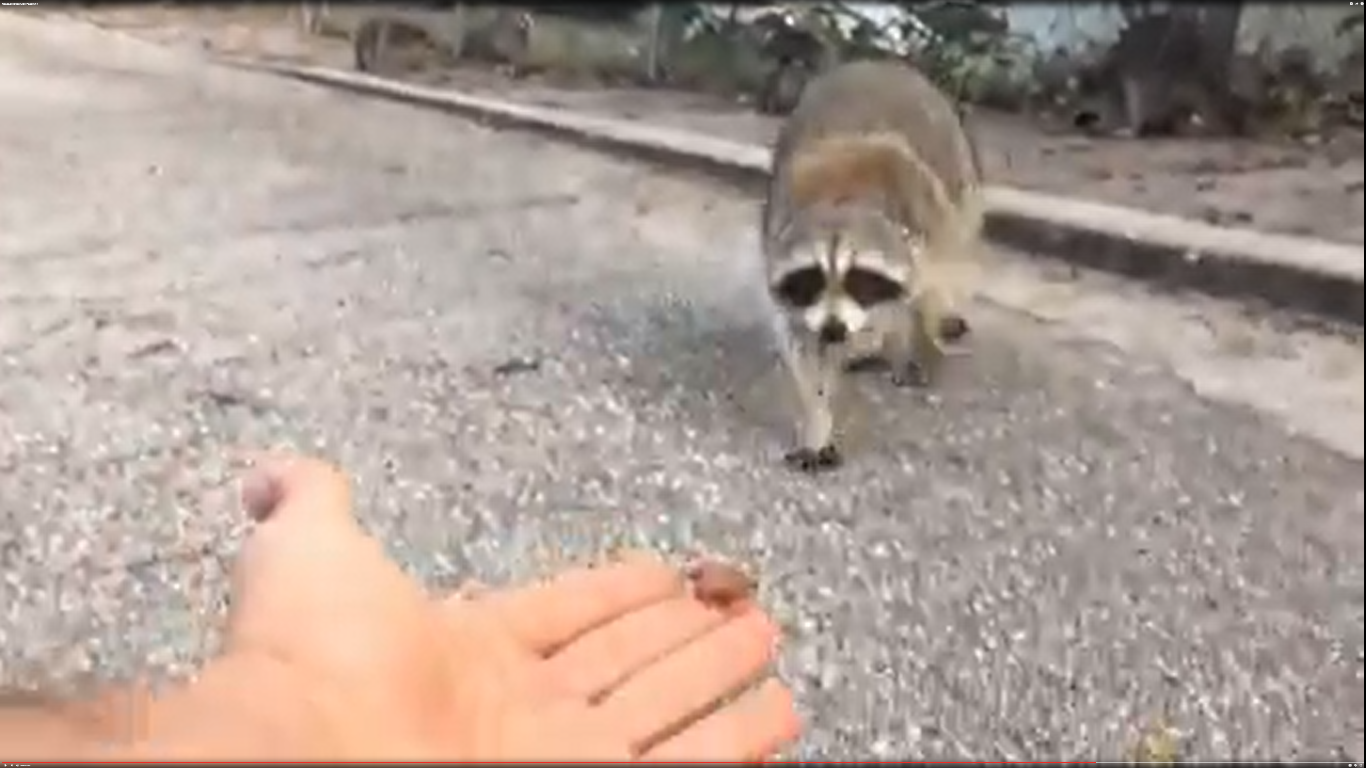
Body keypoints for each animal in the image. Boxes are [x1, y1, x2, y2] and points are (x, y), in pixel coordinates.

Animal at [760, 60, 985, 473]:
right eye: (811, 279)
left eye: (860, 280)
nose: (834, 329)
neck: (842, 201)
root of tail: (880, 63)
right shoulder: (776, 228)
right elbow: (802, 339)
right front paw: (817, 422)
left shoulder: (928, 226)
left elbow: (928, 294)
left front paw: (923, 348)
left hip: (960, 178)